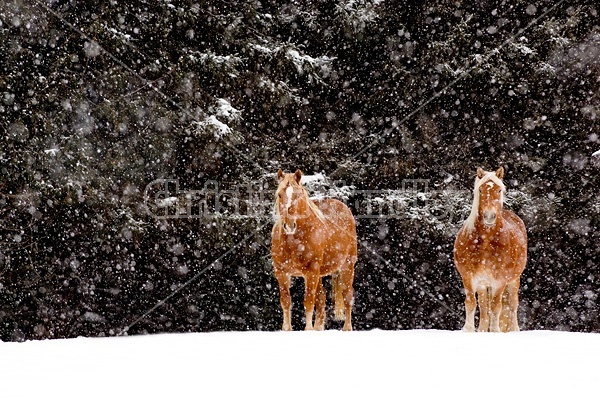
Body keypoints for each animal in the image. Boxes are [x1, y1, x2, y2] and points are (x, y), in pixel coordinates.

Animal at [270, 169, 356, 332]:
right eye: (279, 194)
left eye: (298, 195)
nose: (289, 225)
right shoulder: (281, 272)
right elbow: (286, 301)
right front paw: (287, 329)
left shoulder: (311, 271)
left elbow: (308, 301)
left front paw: (308, 329)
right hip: (319, 274)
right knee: (321, 298)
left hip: (347, 266)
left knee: (347, 296)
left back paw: (347, 327)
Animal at [452, 166, 528, 332]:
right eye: (480, 190)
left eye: (499, 190)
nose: (489, 216)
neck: (486, 241)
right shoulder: (468, 277)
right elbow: (471, 303)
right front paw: (468, 329)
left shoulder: (500, 281)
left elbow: (496, 307)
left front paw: (494, 331)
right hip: (483, 284)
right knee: (483, 306)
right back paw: (481, 329)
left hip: (513, 280)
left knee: (512, 304)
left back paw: (514, 329)